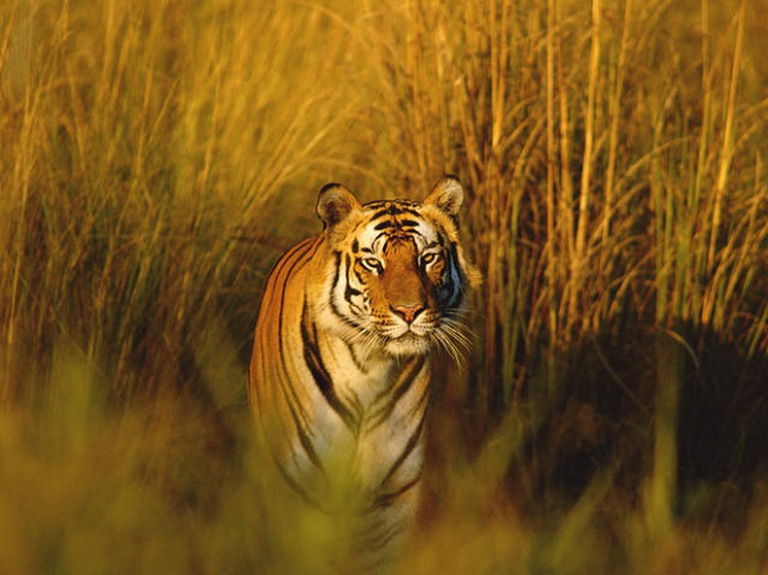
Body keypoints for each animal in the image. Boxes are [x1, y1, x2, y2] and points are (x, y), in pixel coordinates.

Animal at [248, 175, 480, 573]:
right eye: (374, 263)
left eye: (427, 258)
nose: (410, 311)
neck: (371, 367)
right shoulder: (302, 491)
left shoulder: (392, 499)